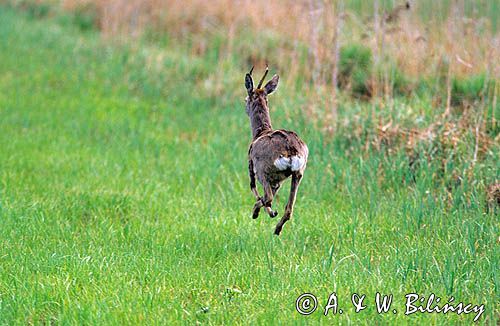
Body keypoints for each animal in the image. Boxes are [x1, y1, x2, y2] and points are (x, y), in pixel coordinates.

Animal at [243, 65, 306, 234]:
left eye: (246, 99)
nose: (245, 106)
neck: (260, 132)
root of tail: (290, 150)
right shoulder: (278, 180)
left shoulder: (251, 163)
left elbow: (253, 188)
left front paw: (266, 212)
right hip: (298, 173)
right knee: (289, 208)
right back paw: (277, 229)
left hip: (263, 169)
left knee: (267, 197)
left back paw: (258, 213)